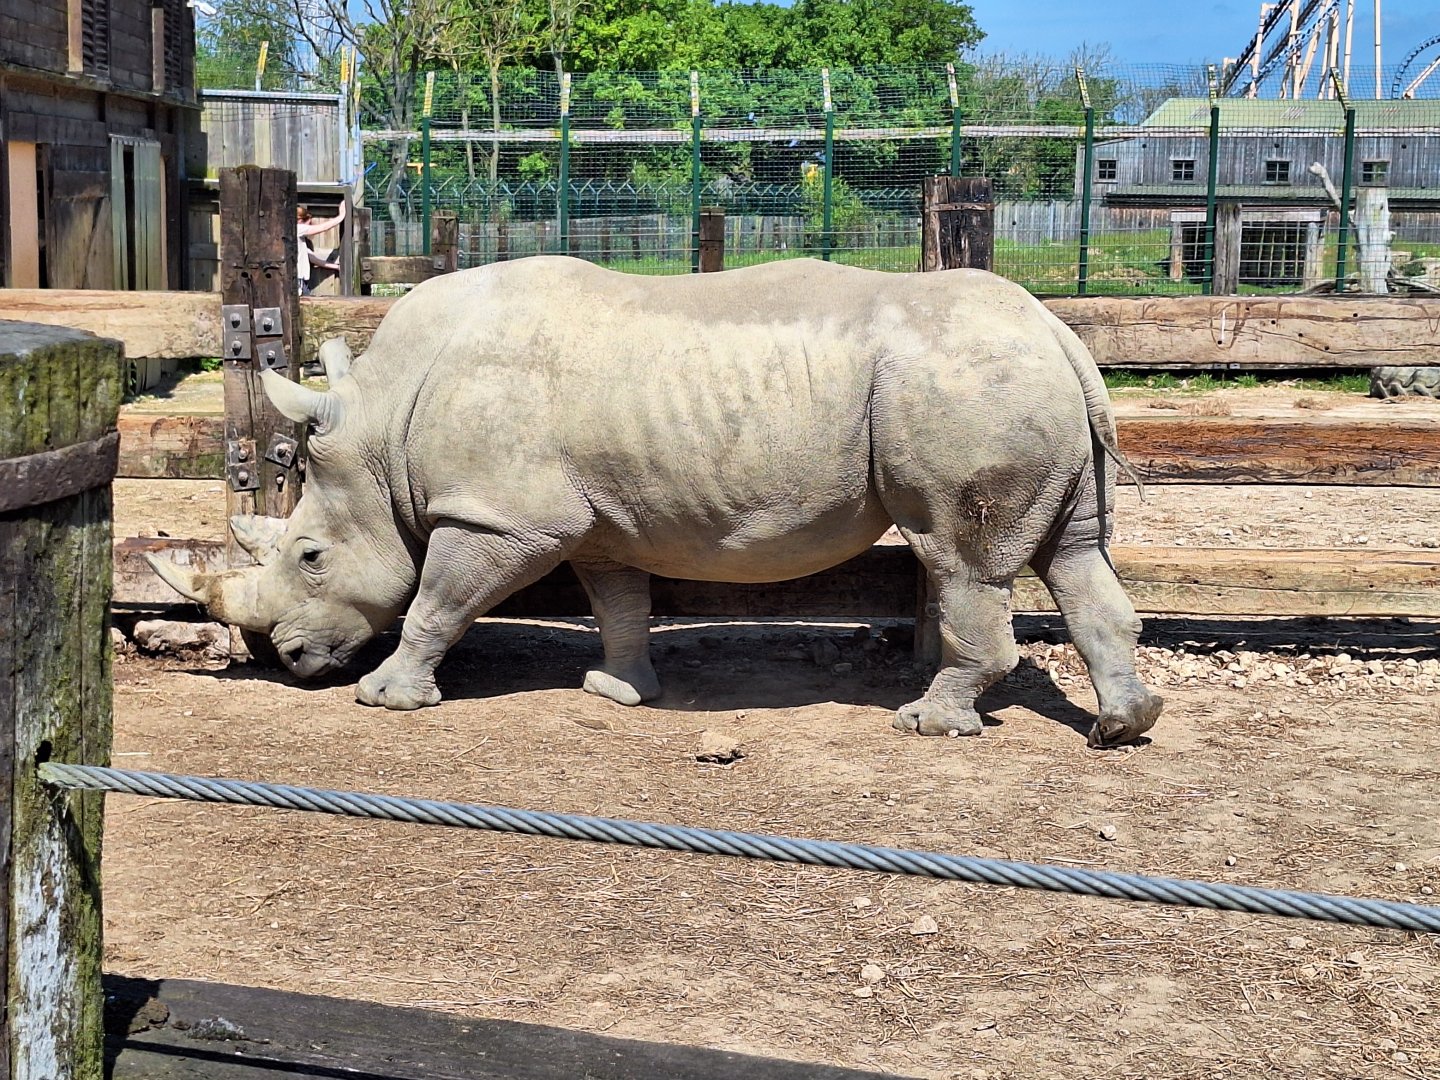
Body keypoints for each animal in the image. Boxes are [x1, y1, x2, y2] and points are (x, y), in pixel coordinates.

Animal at [150, 256, 1162, 747]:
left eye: (311, 557)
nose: (288, 660)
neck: (383, 426)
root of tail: (1059, 332)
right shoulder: (592, 515)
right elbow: (618, 601)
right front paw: (620, 691)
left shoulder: (498, 514)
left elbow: (437, 597)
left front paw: (387, 699)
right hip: (1015, 381)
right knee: (1073, 554)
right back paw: (1123, 725)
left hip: (963, 389)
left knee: (956, 558)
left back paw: (928, 725)